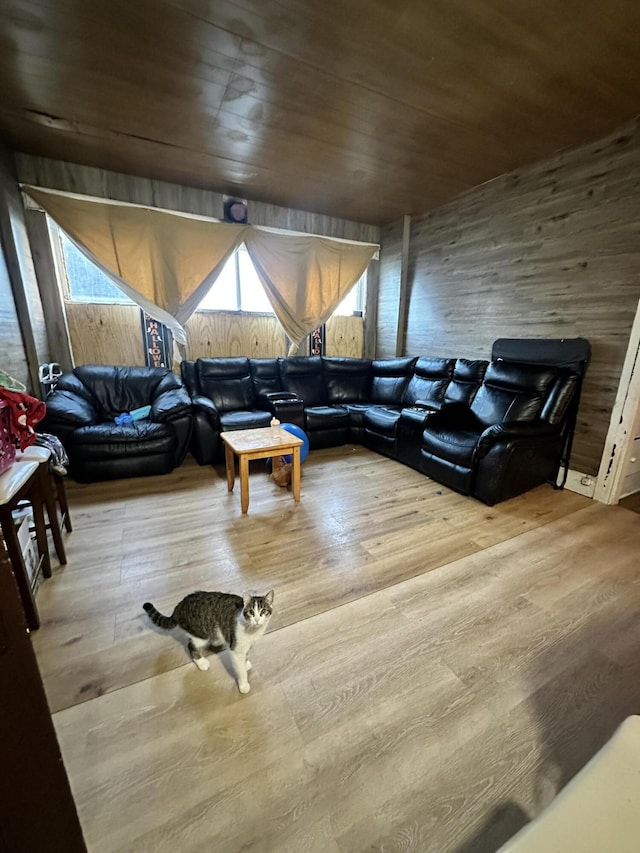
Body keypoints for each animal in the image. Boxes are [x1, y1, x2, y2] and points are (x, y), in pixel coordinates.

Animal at [144, 592, 274, 692]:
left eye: (263, 611)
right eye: (251, 612)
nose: (257, 620)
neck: (252, 631)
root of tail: (179, 606)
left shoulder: (247, 645)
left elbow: (246, 655)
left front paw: (245, 663)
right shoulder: (235, 649)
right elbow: (240, 671)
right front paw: (243, 685)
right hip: (200, 636)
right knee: (190, 646)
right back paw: (201, 663)